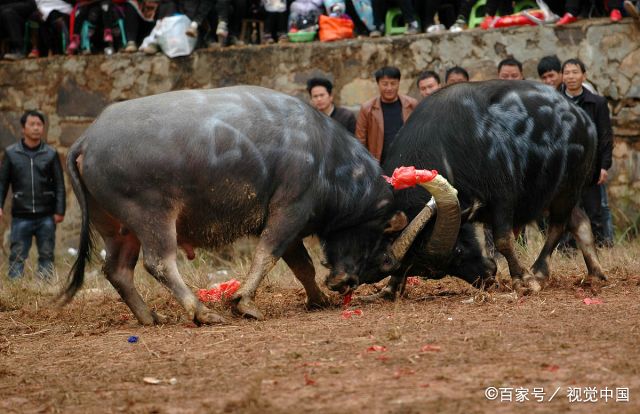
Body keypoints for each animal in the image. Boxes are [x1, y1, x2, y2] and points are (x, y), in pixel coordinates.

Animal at [63, 85, 410, 326]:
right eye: (380, 232)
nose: (346, 283)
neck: (326, 158)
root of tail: (87, 139)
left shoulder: (291, 223)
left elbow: (302, 266)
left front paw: (318, 298)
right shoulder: (291, 209)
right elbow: (268, 254)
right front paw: (244, 302)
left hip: (117, 228)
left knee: (117, 270)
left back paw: (151, 317)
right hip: (151, 216)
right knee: (158, 263)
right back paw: (202, 313)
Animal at [328, 79, 608, 296]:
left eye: (458, 251)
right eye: (433, 271)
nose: (488, 276)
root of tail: (583, 118)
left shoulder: (503, 198)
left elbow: (503, 240)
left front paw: (523, 280)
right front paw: (390, 288)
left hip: (568, 188)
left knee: (559, 226)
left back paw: (538, 272)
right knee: (579, 222)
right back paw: (596, 273)